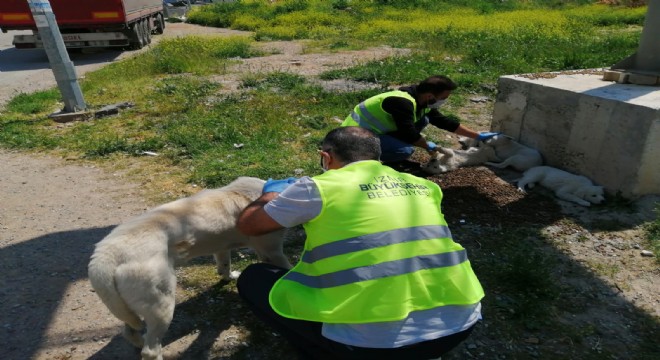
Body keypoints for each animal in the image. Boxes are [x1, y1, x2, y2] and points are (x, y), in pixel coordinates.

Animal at [87, 176, 294, 360]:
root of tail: (105, 256)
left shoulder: (221, 247)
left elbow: (224, 265)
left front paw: (229, 276)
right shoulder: (271, 251)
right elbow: (287, 267)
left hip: (125, 306)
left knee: (129, 330)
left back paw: (138, 342)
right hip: (161, 306)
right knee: (151, 350)